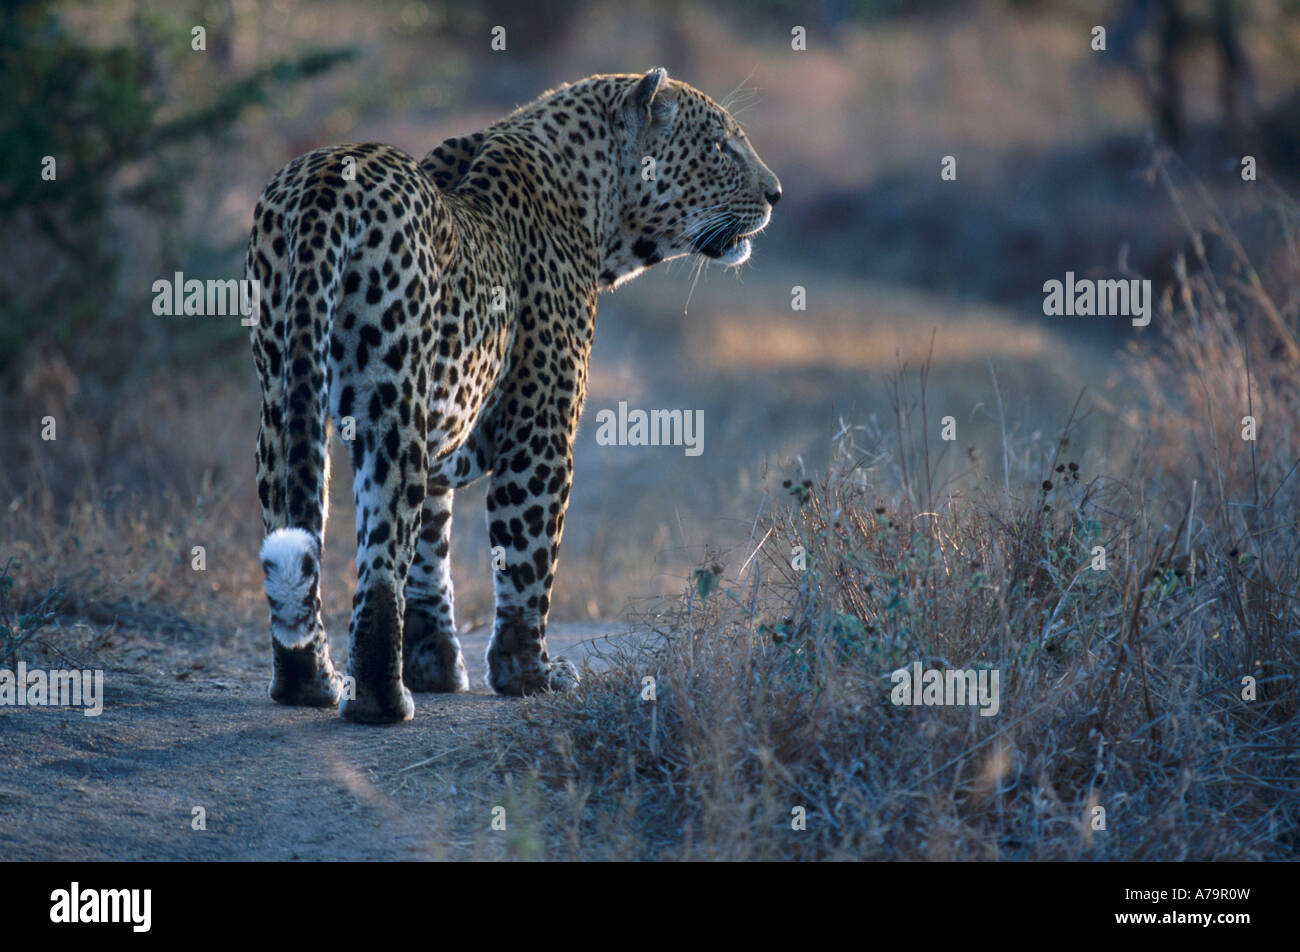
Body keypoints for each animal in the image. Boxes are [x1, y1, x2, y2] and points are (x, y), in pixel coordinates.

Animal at [244, 66, 780, 723]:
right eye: (721, 147)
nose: (777, 194)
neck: (596, 202)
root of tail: (324, 179)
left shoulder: (444, 434)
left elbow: (431, 551)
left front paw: (436, 666)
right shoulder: (541, 429)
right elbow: (528, 555)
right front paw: (529, 675)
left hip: (282, 391)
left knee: (298, 521)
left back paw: (310, 682)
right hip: (388, 404)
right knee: (380, 556)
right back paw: (379, 699)